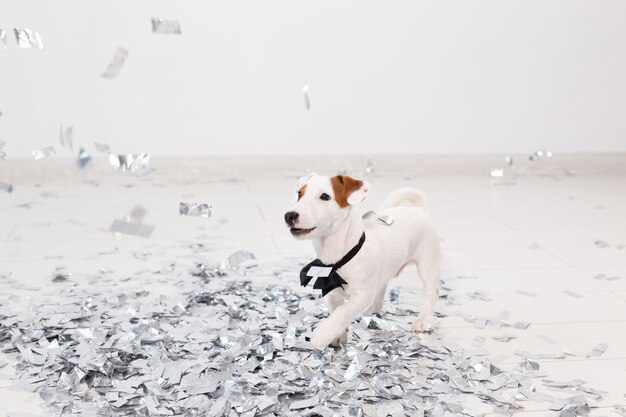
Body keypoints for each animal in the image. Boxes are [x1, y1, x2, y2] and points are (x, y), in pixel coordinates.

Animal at [282, 172, 438, 348]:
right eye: (299, 194)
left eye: (325, 196)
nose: (289, 215)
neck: (340, 258)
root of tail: (419, 210)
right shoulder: (332, 294)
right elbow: (336, 312)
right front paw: (337, 336)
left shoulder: (362, 295)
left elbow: (342, 311)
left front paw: (322, 335)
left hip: (427, 264)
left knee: (432, 293)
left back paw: (422, 321)